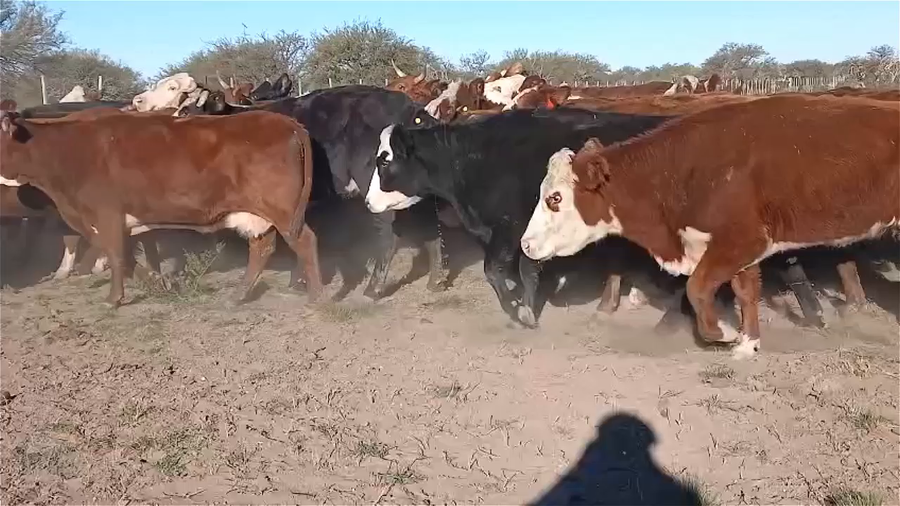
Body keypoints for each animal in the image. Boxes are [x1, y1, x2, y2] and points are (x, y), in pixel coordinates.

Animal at [0, 109, 322, 308]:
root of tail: (287, 122)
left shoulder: (106, 213)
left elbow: (116, 255)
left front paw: (114, 298)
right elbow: (125, 257)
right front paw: (159, 284)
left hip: (281, 210)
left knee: (305, 241)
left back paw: (316, 296)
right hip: (257, 214)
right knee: (262, 248)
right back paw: (240, 295)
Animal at [364, 108, 671, 327]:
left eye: (385, 160)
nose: (368, 202)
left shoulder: (517, 228)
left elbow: (506, 270)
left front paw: (521, 312)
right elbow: (510, 271)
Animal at [519, 94, 900, 359]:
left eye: (555, 198)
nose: (525, 244)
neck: (685, 171)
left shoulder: (742, 241)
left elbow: (697, 289)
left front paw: (724, 334)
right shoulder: (736, 249)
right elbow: (746, 292)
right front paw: (747, 344)